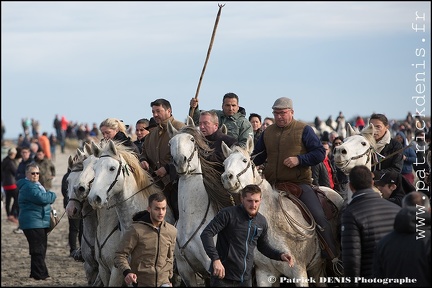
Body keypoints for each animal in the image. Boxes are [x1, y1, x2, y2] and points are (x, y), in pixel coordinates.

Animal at [167, 118, 240, 286]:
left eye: (192, 139)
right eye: (170, 142)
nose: (180, 161)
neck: (192, 219)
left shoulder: (212, 267)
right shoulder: (186, 271)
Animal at [221, 137, 342, 286]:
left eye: (244, 160)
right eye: (224, 163)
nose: (227, 177)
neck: (274, 221)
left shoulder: (299, 272)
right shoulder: (264, 273)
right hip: (316, 267)